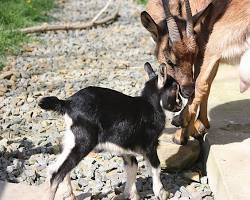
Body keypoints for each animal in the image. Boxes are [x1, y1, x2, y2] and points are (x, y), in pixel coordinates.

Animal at [141, 0, 250, 145]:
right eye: (169, 61)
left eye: (193, 56)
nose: (187, 91)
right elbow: (209, 83)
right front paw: (201, 123)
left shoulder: (203, 46)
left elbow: (202, 82)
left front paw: (185, 133)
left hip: (217, 39)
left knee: (200, 83)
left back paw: (179, 125)